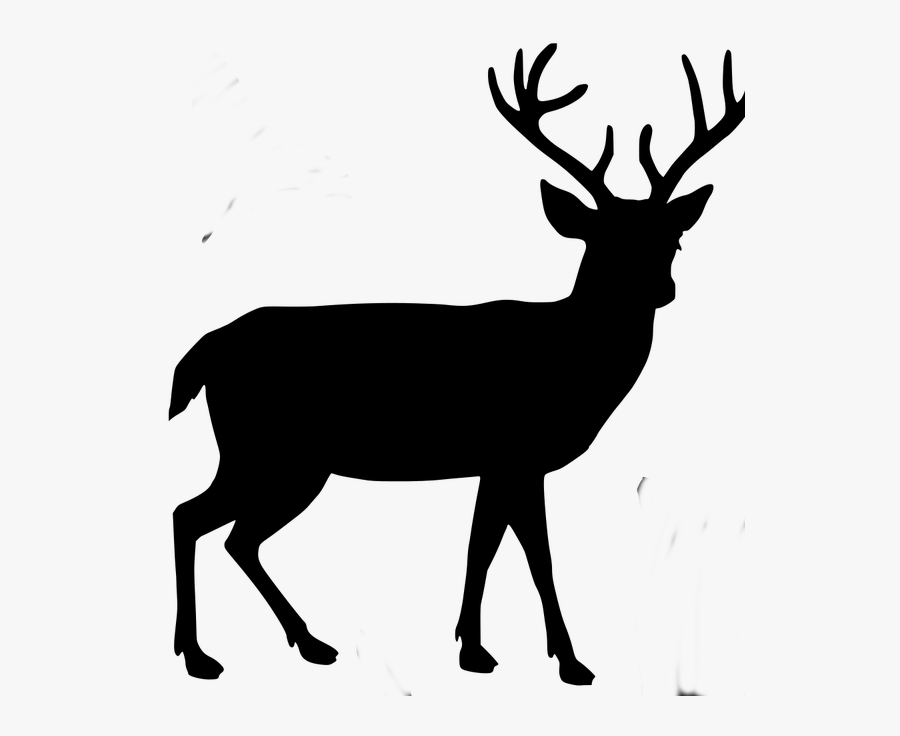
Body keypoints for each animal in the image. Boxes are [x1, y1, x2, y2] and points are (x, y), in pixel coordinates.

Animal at [170, 44, 745, 686]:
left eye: (672, 241)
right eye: (602, 242)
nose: (661, 289)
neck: (567, 360)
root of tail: (204, 348)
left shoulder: (502, 464)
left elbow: (486, 548)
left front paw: (484, 649)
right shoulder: (516, 450)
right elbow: (531, 556)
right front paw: (556, 660)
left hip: (280, 459)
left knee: (231, 535)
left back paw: (307, 643)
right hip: (269, 451)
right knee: (195, 519)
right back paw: (202, 656)